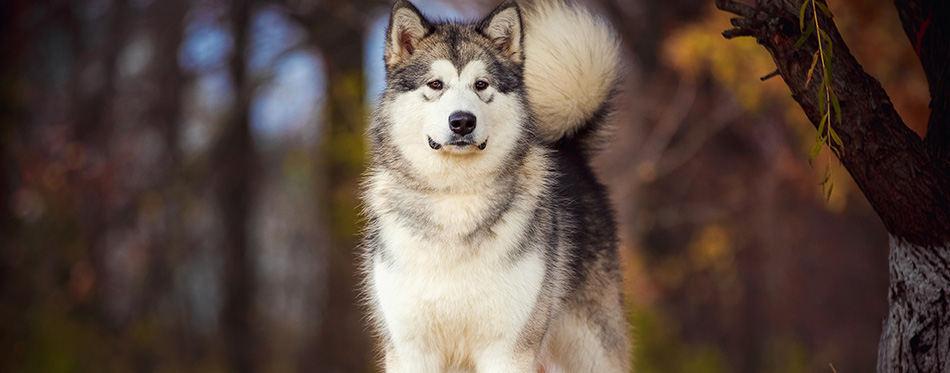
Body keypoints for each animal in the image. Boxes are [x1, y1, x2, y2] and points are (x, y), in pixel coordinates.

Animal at [360, 0, 628, 370]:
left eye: (481, 84)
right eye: (435, 84)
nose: (462, 121)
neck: (456, 199)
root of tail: (568, 147)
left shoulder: (507, 350)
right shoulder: (411, 350)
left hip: (589, 351)